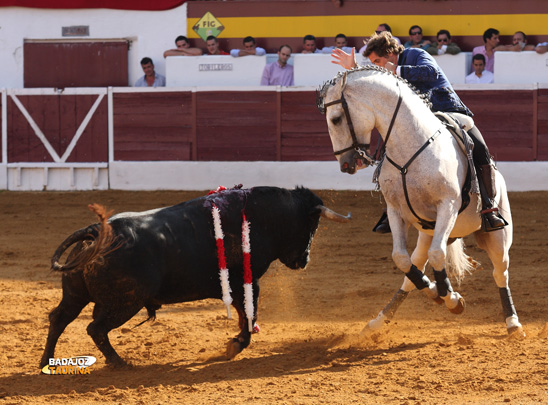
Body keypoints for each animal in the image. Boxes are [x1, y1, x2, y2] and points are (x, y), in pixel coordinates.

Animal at [38, 186, 348, 366]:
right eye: (311, 224)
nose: (303, 260)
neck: (261, 215)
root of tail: (96, 230)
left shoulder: (236, 285)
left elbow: (243, 314)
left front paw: (234, 341)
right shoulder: (246, 281)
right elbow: (249, 314)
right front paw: (235, 346)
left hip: (76, 295)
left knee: (59, 318)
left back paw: (46, 361)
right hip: (126, 303)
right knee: (96, 328)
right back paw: (120, 363)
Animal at [318, 64, 524, 332]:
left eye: (336, 119)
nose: (346, 164)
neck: (410, 147)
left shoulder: (448, 205)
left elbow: (438, 255)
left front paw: (453, 299)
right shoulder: (395, 210)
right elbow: (402, 260)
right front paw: (440, 293)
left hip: (497, 237)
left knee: (500, 273)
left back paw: (512, 322)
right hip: (427, 232)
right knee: (415, 267)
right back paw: (380, 319)